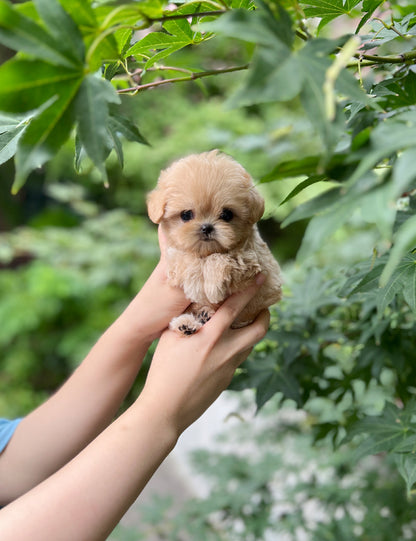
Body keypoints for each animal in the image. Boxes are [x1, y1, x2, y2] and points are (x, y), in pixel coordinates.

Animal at [147, 151, 282, 334]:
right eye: (186, 215)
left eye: (227, 214)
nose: (207, 227)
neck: (206, 251)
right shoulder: (173, 255)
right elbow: (188, 260)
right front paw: (197, 284)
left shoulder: (252, 260)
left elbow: (220, 259)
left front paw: (212, 286)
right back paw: (187, 323)